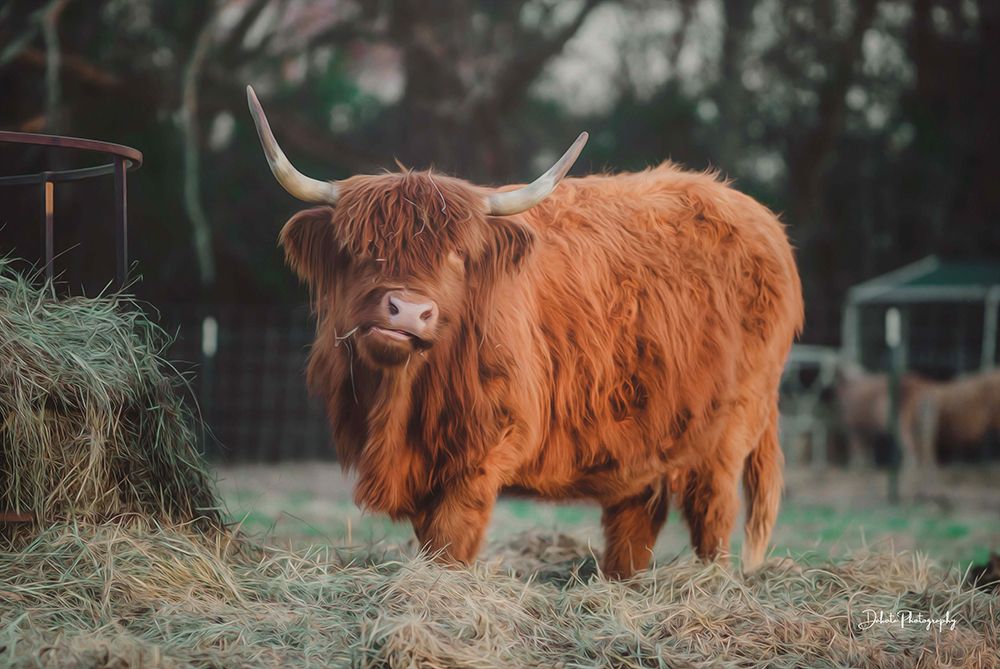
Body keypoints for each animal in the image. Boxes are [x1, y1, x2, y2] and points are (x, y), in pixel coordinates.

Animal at [247, 86, 803, 578]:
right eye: (363, 248)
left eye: (457, 256)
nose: (407, 312)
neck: (399, 405)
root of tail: (761, 219)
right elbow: (429, 539)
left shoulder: (485, 446)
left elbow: (451, 540)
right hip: (643, 435)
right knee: (636, 517)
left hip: (729, 429)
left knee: (713, 512)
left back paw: (710, 584)